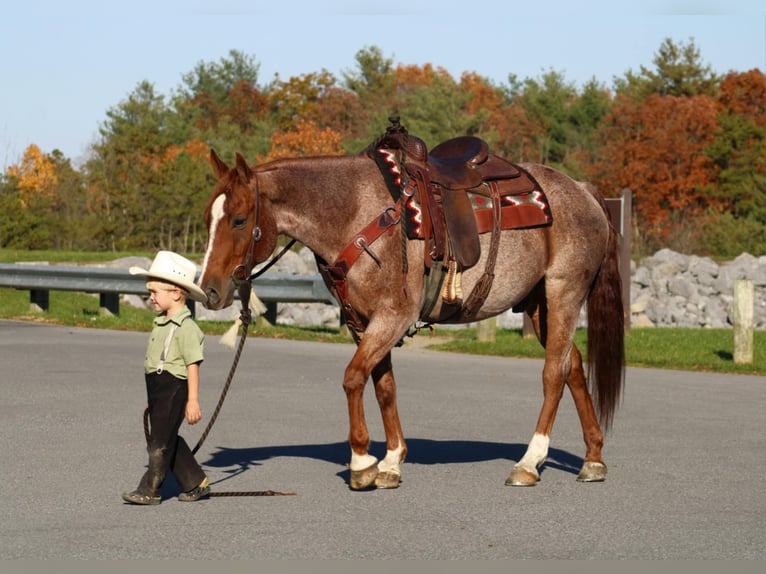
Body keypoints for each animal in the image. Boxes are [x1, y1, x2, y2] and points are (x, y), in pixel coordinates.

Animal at [201, 119, 628, 492]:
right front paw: (391, 461)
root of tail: (584, 190)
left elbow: (353, 377)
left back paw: (529, 462)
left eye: (239, 219)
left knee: (554, 373)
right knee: (573, 367)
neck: (356, 210)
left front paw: (361, 462)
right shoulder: (365, 321)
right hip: (540, 305)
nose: (209, 290)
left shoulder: (393, 316)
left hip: (564, 292)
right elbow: (383, 385)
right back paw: (593, 458)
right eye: (208, 218)